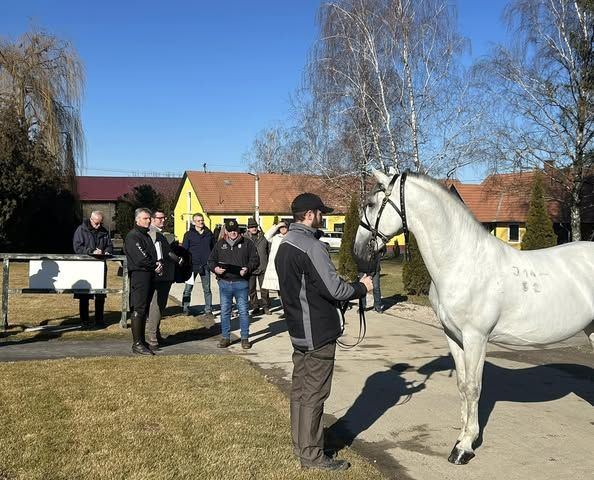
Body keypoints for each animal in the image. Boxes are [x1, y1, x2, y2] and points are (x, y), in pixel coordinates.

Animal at [352, 170, 592, 464]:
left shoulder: (476, 338)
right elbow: (462, 384)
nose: (358, 251)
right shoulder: (454, 336)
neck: (462, 261)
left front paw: (464, 448)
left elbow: (473, 387)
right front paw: (462, 438)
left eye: (372, 204)